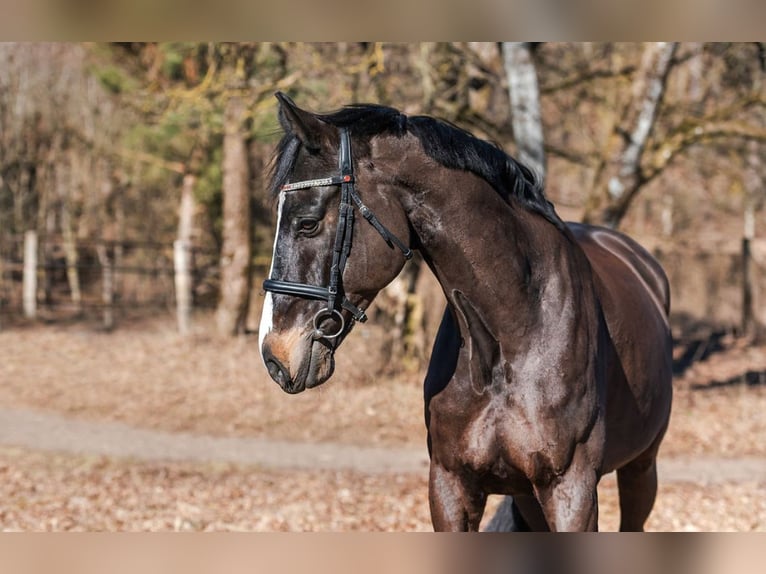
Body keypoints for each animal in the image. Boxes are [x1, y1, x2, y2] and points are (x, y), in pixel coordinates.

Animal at [258, 92, 672, 532]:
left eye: (307, 223)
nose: (274, 356)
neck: (512, 336)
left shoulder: (571, 490)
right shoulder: (451, 486)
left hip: (640, 468)